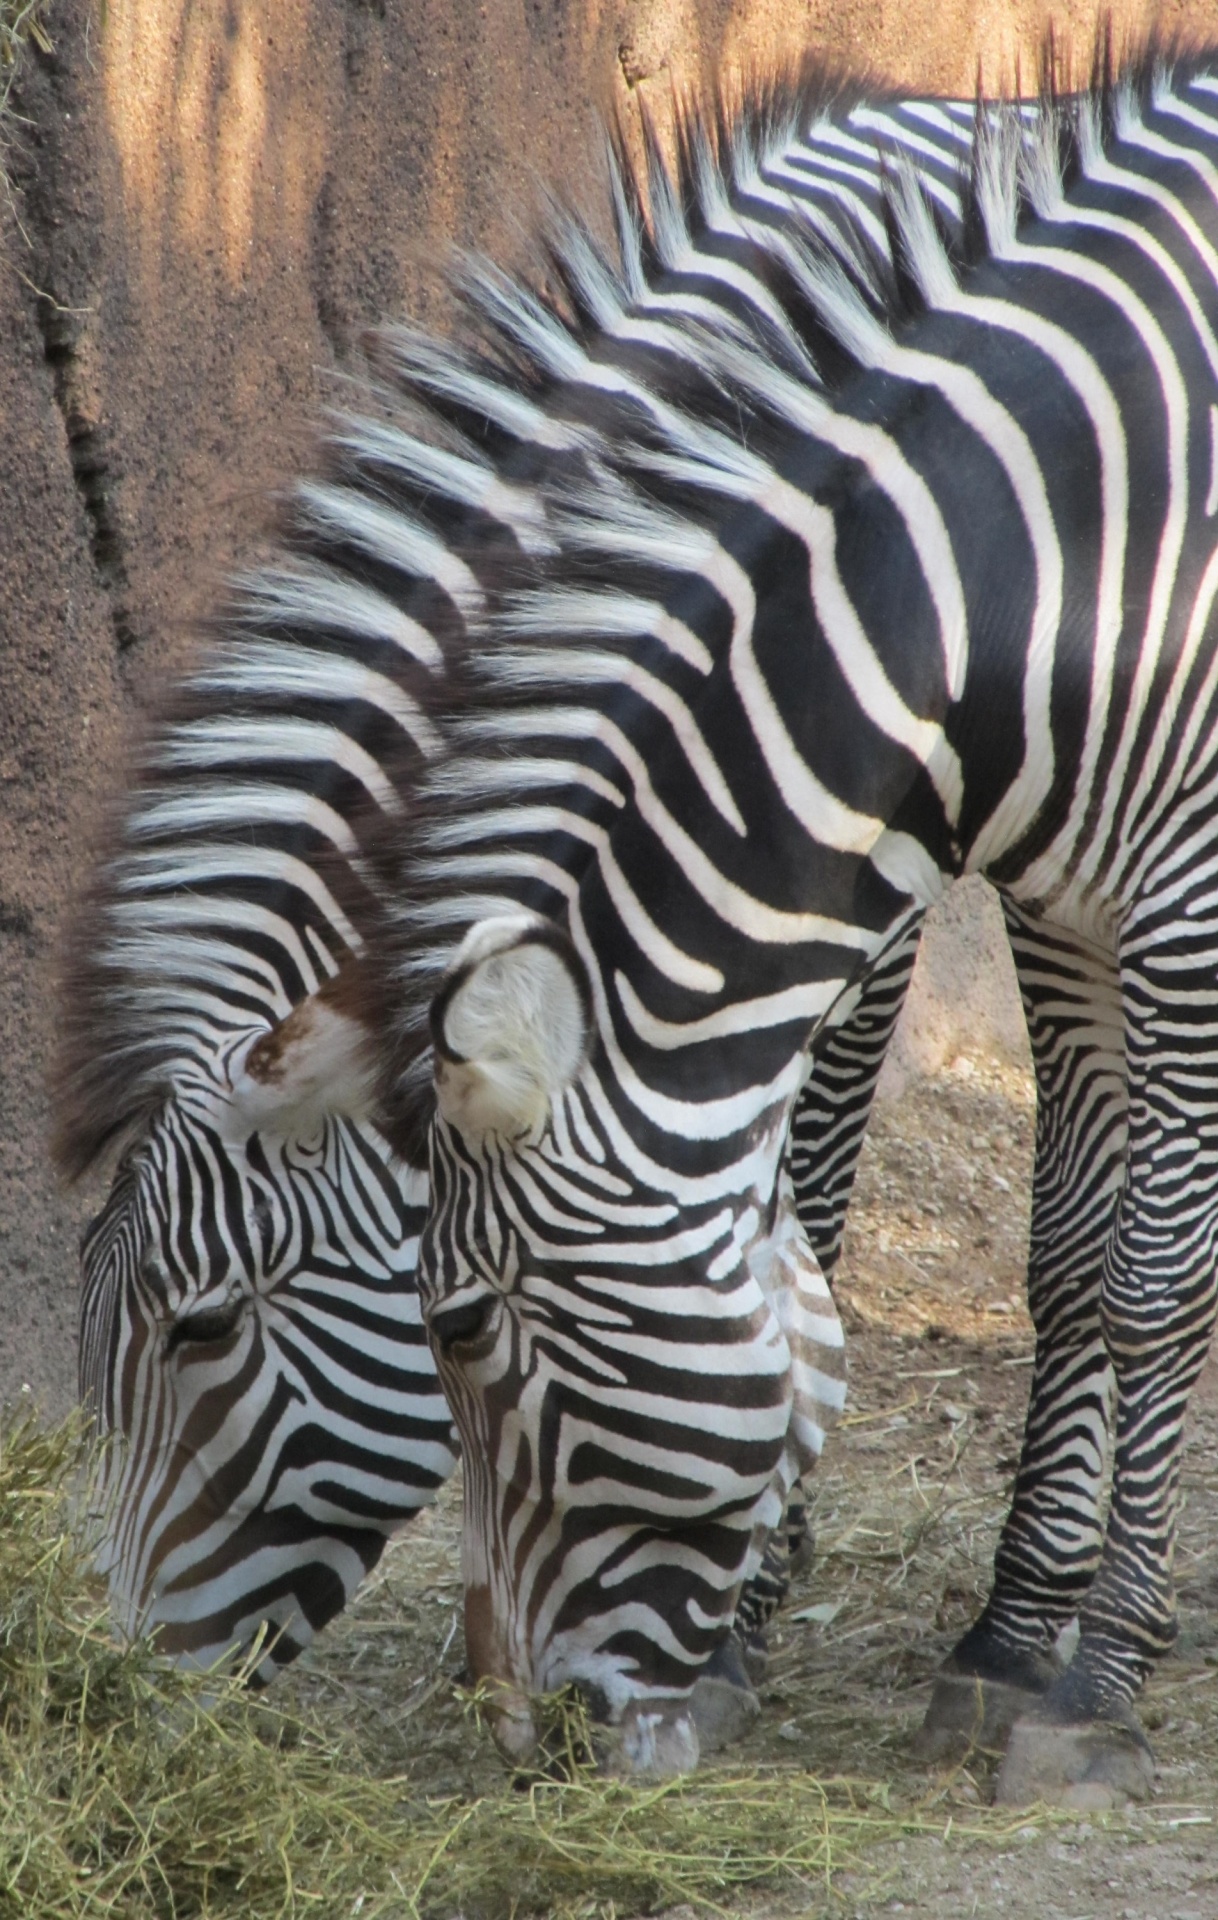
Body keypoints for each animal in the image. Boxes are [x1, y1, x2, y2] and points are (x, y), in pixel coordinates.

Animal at [265, 41, 1218, 1797]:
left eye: (459, 1329)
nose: (526, 1742)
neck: (1032, 572)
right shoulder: (1069, 899)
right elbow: (1065, 1251)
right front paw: (1005, 1638)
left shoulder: (1180, 897)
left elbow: (1149, 1279)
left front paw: (1096, 1682)